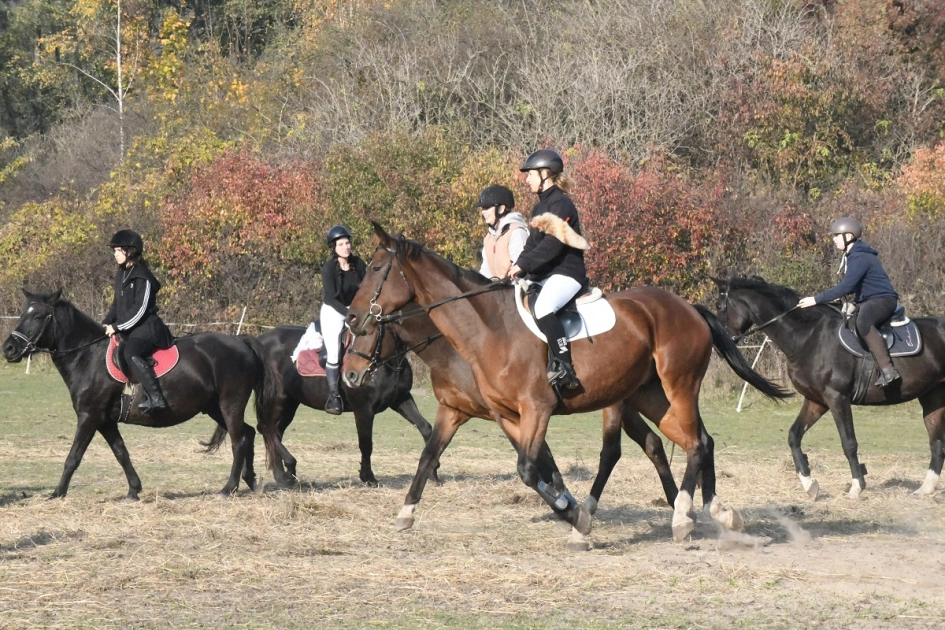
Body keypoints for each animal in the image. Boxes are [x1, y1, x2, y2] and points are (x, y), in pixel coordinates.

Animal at [1, 292, 276, 504]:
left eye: (38, 316)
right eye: (23, 314)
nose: (9, 349)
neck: (88, 357)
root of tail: (240, 342)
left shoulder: (89, 417)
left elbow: (73, 457)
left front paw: (57, 493)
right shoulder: (105, 421)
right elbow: (121, 453)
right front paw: (133, 490)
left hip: (230, 404)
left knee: (239, 440)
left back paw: (228, 488)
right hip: (214, 407)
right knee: (248, 433)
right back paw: (251, 480)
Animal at [245, 326, 434, 488]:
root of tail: (260, 341)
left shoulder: (401, 399)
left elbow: (426, 428)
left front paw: (433, 473)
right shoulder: (364, 410)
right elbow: (366, 444)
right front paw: (368, 478)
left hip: (290, 403)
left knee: (274, 431)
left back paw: (282, 476)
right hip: (278, 399)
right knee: (266, 428)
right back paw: (288, 471)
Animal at [346, 308, 680, 552]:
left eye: (367, 332)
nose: (351, 375)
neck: (457, 349)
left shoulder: (511, 414)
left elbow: (541, 458)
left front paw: (567, 509)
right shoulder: (455, 411)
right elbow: (429, 455)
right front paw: (406, 512)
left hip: (616, 404)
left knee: (615, 450)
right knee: (652, 443)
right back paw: (678, 502)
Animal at [712, 276, 944, 498]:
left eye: (720, 306)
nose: (717, 345)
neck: (807, 336)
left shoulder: (837, 398)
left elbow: (849, 443)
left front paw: (856, 487)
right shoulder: (816, 401)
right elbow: (794, 435)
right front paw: (809, 484)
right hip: (932, 397)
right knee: (936, 444)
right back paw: (924, 490)